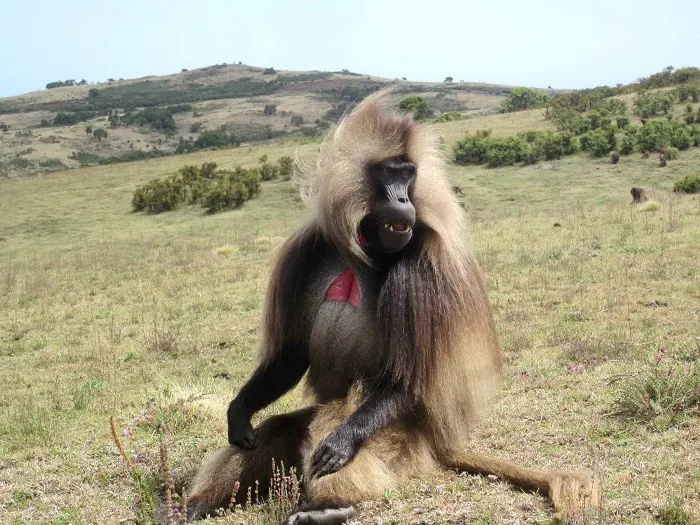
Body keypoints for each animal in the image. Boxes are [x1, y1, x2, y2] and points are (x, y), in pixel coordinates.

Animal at [185, 92, 601, 524]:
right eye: (389, 174)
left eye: (408, 174)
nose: (403, 199)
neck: (370, 252)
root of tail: (440, 443)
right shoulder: (306, 251)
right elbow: (291, 355)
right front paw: (239, 412)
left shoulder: (418, 272)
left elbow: (405, 381)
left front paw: (342, 445)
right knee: (276, 430)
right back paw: (194, 505)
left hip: (406, 439)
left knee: (338, 418)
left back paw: (327, 506)